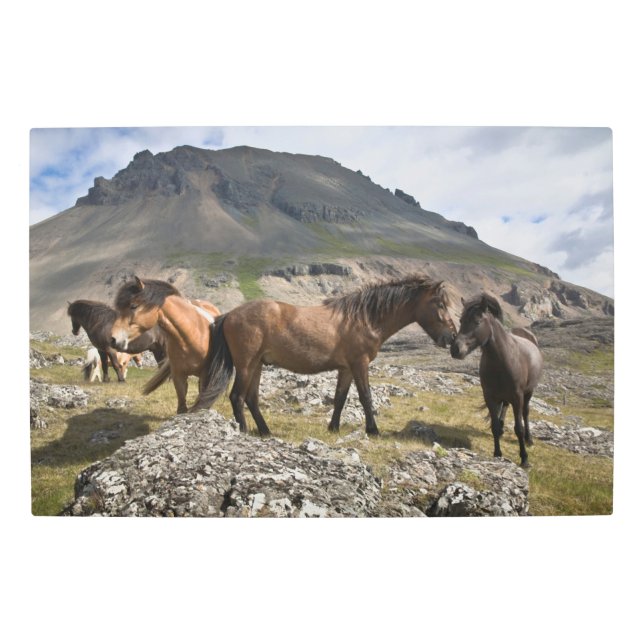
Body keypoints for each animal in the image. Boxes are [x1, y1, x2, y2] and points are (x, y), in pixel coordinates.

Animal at [109, 278, 222, 413]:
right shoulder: (178, 376)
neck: (191, 336)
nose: (113, 339)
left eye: (133, 306)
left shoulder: (205, 375)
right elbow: (182, 408)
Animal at [186, 275, 456, 436]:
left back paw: (265, 431)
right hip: (245, 364)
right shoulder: (360, 364)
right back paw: (243, 430)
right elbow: (366, 397)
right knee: (237, 397)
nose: (452, 337)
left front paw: (333, 427)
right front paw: (373, 430)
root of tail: (229, 315)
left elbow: (340, 398)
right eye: (440, 304)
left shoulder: (346, 368)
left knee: (251, 398)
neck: (364, 318)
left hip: (257, 365)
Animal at [450, 293, 543, 468]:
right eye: (461, 320)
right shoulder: (490, 397)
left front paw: (524, 459)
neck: (503, 360)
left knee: (526, 413)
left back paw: (529, 439)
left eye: (477, 321)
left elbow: (519, 428)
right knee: (504, 409)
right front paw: (497, 454)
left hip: (528, 392)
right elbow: (493, 425)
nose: (455, 349)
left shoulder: (517, 397)